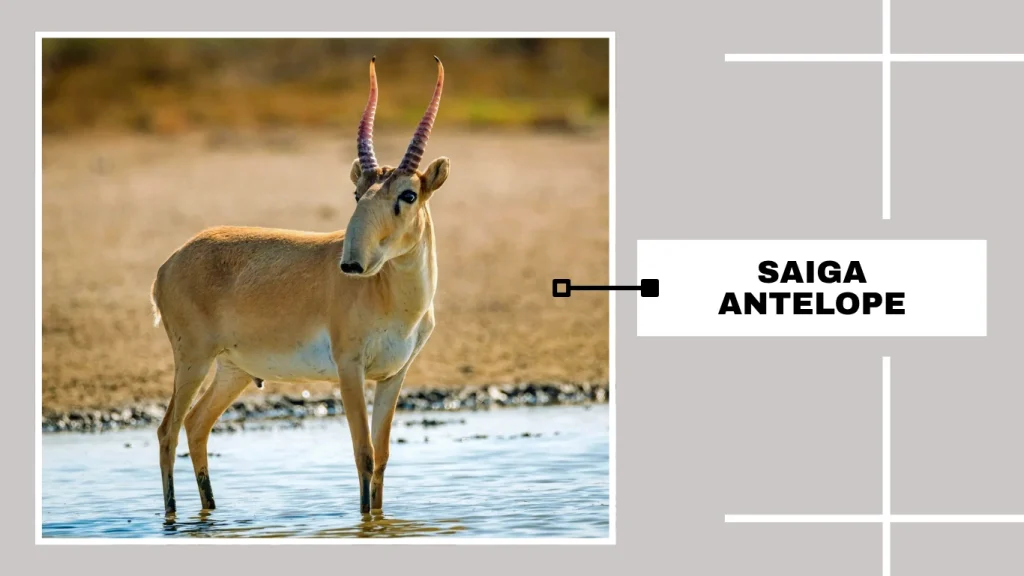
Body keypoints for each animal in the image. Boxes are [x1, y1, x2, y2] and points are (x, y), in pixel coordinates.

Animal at [149, 57, 450, 516]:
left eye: (409, 194)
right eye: (357, 192)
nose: (351, 263)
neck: (392, 298)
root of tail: (169, 264)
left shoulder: (393, 375)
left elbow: (381, 456)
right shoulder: (349, 368)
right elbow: (363, 453)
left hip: (233, 370)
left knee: (197, 425)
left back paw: (211, 510)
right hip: (193, 361)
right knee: (168, 429)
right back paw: (172, 517)